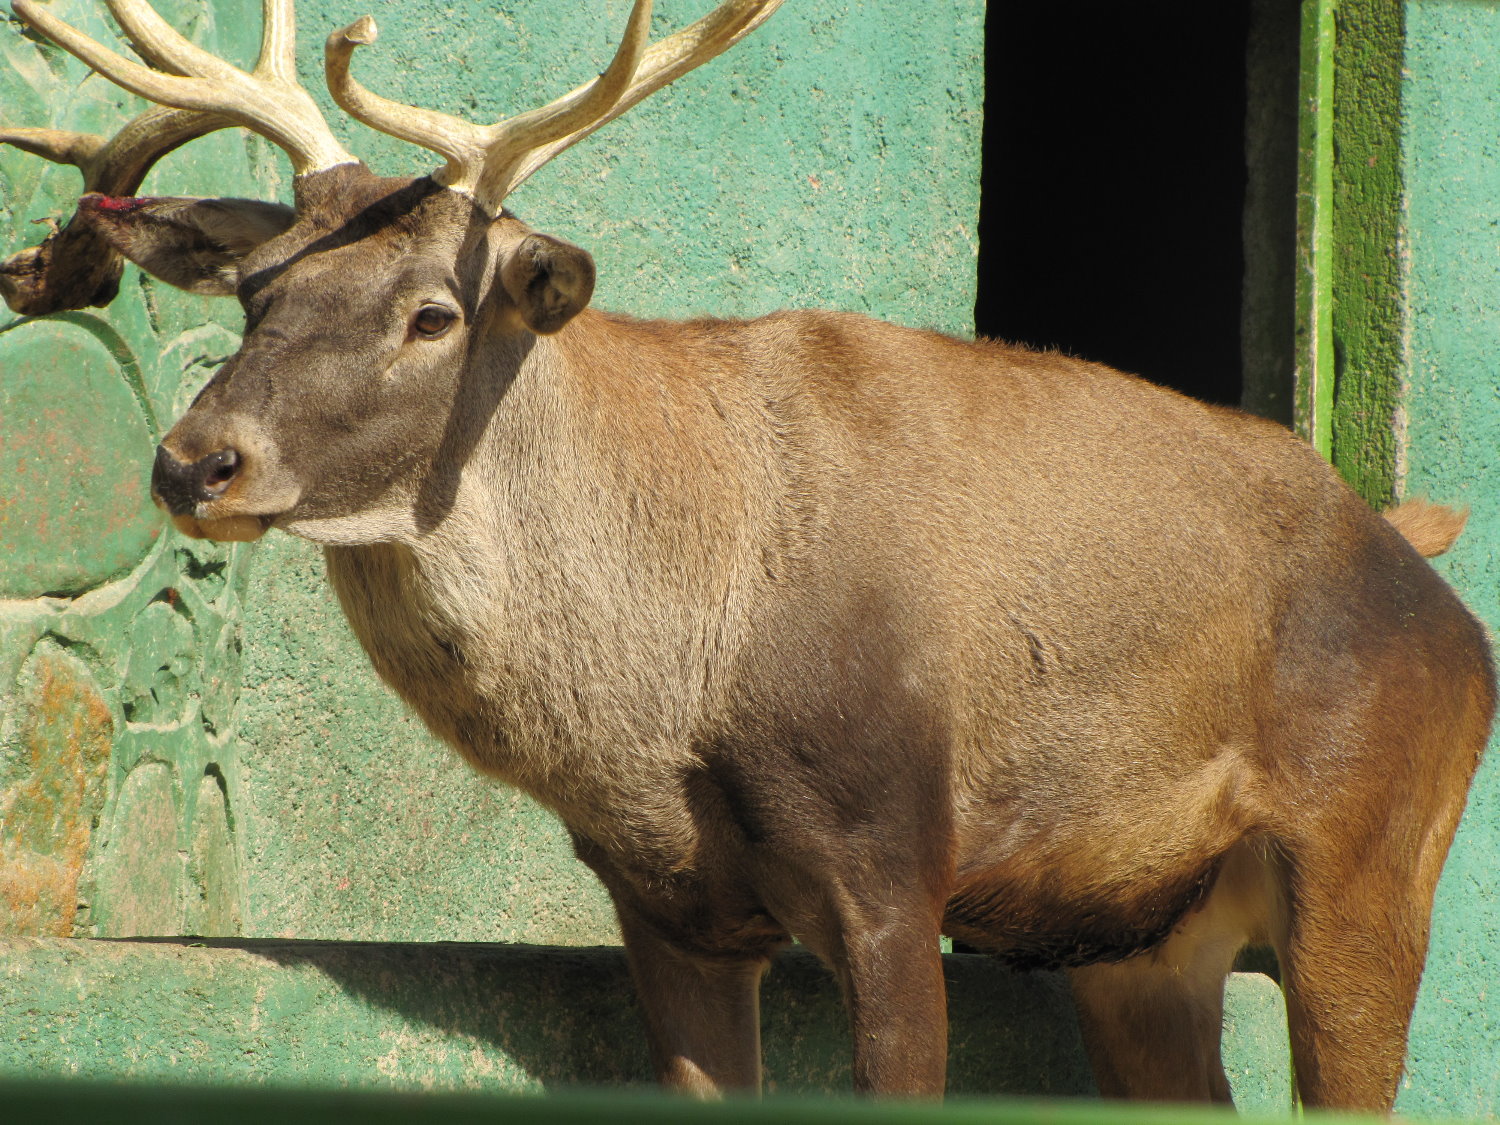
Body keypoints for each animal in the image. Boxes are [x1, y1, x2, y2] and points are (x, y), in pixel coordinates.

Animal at [2, 0, 1492, 1111]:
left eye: (433, 312)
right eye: (258, 293)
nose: (196, 460)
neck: (682, 669)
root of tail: (1434, 581)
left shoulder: (895, 851)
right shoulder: (666, 905)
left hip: (1374, 858)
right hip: (1142, 941)